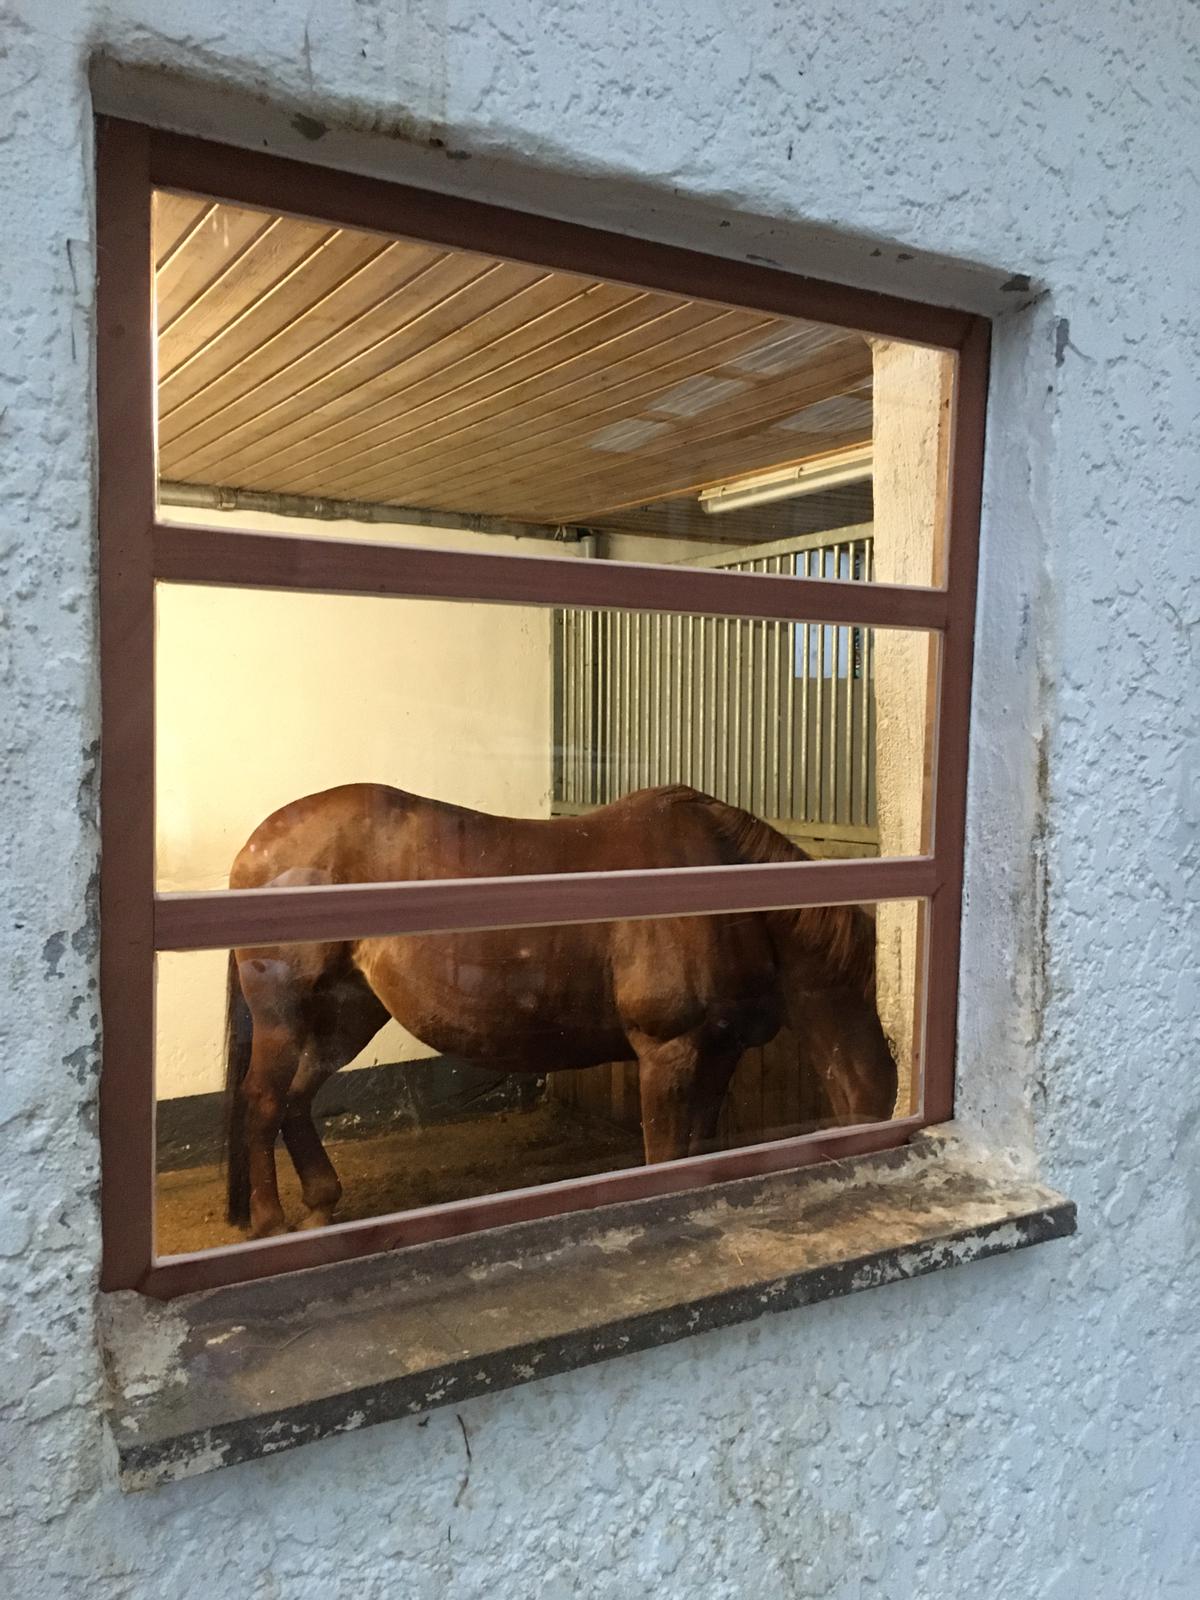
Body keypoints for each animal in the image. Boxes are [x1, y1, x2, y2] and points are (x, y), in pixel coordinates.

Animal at [223, 783, 897, 1238]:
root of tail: (257, 844)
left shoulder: (721, 1052)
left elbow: (699, 1146)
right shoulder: (668, 1052)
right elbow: (664, 1154)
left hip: (347, 1013)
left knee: (298, 1098)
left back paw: (320, 1206)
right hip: (285, 1016)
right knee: (262, 1100)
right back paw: (269, 1224)